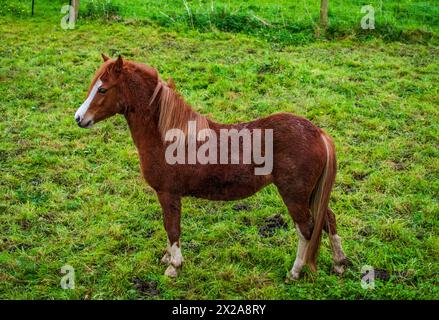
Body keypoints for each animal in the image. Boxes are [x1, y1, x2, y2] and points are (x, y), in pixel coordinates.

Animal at [76, 55, 350, 280]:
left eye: (103, 89)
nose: (79, 118)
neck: (167, 137)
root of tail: (318, 133)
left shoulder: (168, 194)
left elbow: (172, 227)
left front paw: (174, 266)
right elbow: (168, 226)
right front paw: (167, 257)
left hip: (294, 195)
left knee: (306, 229)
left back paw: (295, 271)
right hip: (311, 194)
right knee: (328, 219)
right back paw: (339, 263)